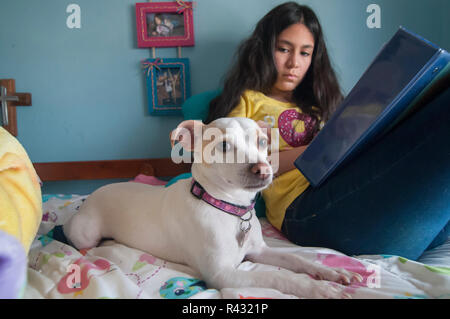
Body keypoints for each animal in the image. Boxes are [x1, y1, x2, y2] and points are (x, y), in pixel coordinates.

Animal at [63, 118, 360, 300]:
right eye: (224, 145)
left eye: (263, 142)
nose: (263, 169)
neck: (228, 209)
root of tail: (95, 193)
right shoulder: (223, 275)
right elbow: (280, 278)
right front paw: (319, 289)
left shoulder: (260, 251)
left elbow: (298, 260)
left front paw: (332, 273)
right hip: (85, 233)